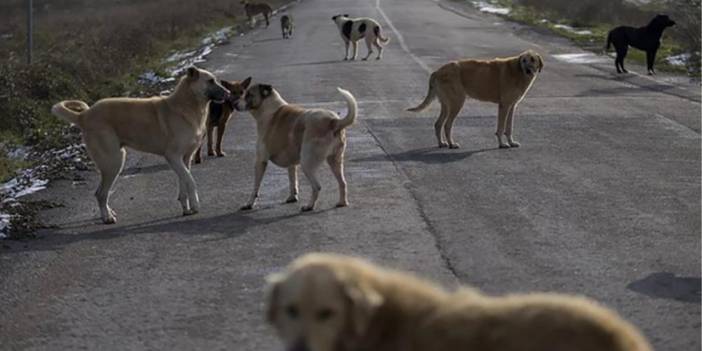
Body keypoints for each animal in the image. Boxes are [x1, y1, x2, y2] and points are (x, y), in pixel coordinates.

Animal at [53, 67, 234, 224]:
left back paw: (109, 213)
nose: (229, 94)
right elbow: (191, 180)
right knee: (100, 193)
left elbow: (184, 182)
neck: (187, 105)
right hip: (113, 162)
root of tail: (84, 115)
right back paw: (107, 217)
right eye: (210, 81)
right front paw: (195, 205)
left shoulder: (185, 159)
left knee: (102, 193)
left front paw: (186, 208)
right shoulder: (173, 157)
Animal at [235, 84, 358, 213]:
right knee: (343, 183)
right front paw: (292, 197)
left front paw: (249, 204)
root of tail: (333, 121)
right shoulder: (291, 163)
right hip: (335, 161)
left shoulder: (260, 161)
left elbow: (255, 187)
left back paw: (309, 206)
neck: (269, 109)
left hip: (307, 163)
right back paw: (342, 202)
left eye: (249, 94)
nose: (234, 103)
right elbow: (292, 180)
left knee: (317, 186)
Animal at [410, 50, 548, 149]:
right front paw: (502, 144)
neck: (517, 71)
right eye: (523, 60)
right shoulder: (504, 106)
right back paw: (451, 144)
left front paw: (511, 142)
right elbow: (501, 128)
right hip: (457, 103)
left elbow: (509, 128)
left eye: (532, 60)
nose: (528, 70)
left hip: (446, 104)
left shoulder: (512, 106)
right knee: (447, 125)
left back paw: (442, 143)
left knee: (438, 124)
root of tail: (437, 71)